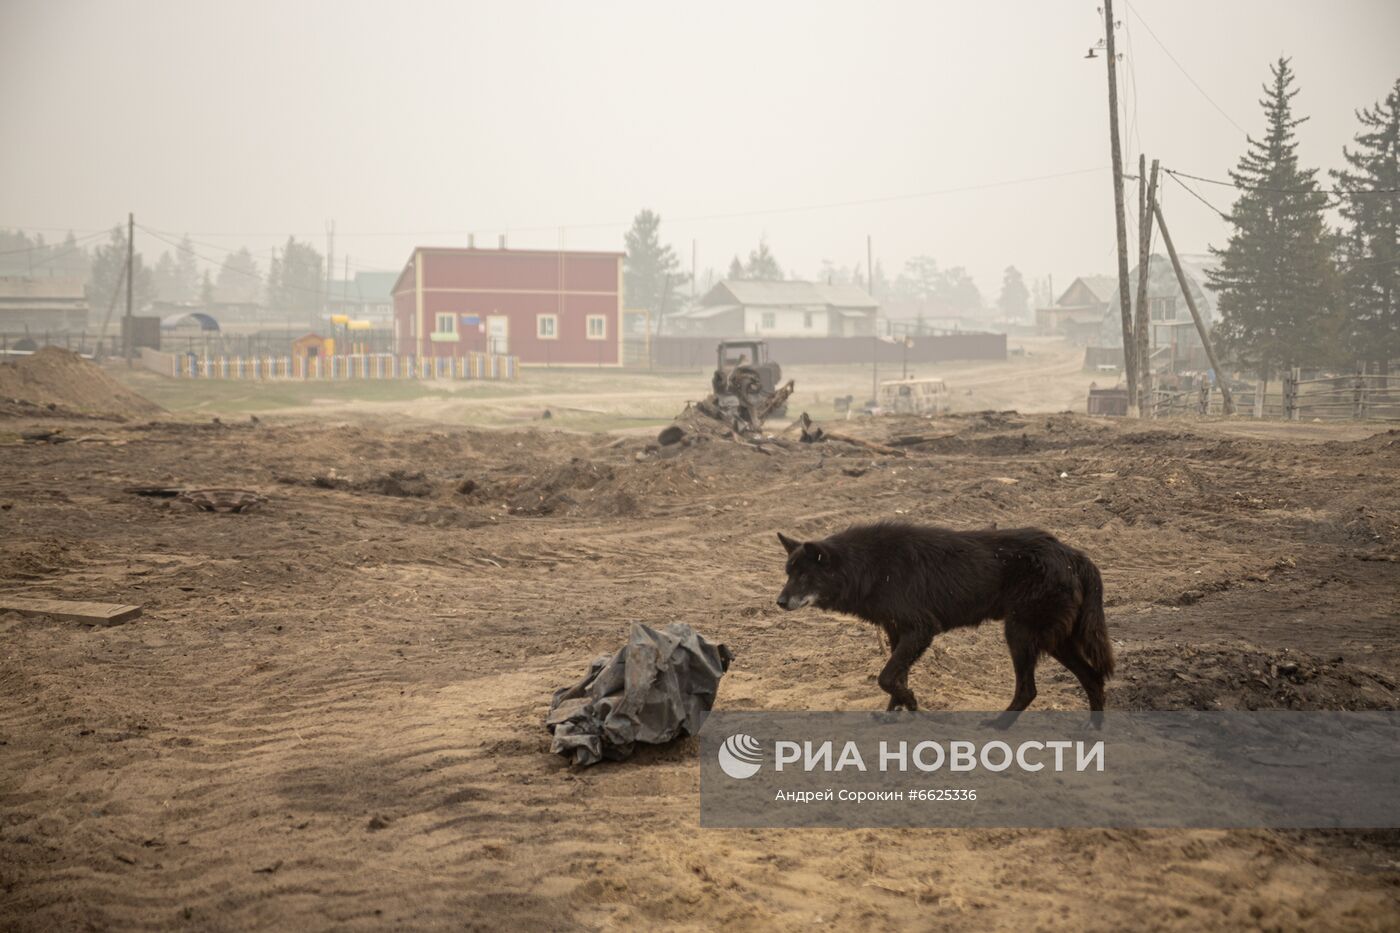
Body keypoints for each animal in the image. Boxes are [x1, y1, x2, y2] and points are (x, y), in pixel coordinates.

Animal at [778, 518, 1114, 722]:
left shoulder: (922, 630)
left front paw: (911, 703)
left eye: (803, 576)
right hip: (1053, 641)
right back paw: (1092, 735)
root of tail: (1073, 554)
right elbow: (897, 677)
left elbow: (886, 677)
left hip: (1019, 635)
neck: (872, 567)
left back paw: (997, 727)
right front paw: (894, 713)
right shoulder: (898, 633)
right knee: (1092, 678)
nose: (779, 602)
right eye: (788, 573)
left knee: (1029, 689)